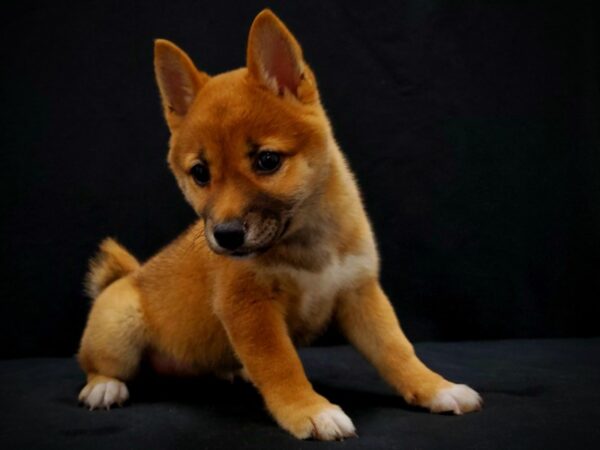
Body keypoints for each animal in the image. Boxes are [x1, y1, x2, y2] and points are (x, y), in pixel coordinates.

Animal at [78, 8, 482, 442]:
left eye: (267, 161)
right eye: (200, 173)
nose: (226, 236)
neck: (308, 243)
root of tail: (124, 277)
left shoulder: (361, 294)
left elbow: (397, 350)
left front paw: (435, 387)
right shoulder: (250, 308)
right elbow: (281, 365)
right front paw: (309, 410)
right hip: (119, 326)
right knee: (99, 365)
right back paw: (104, 387)